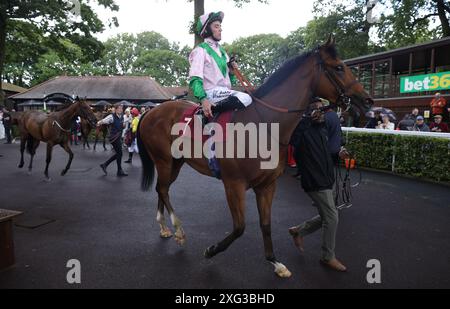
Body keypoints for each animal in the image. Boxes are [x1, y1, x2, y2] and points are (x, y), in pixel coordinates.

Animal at [137, 36, 372, 276]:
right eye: (339, 67)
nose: (367, 100)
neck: (264, 124)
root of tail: (151, 112)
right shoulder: (234, 184)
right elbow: (240, 227)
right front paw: (211, 250)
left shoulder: (267, 185)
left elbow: (265, 224)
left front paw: (275, 262)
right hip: (164, 161)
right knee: (163, 189)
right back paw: (178, 230)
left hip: (176, 163)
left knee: (162, 189)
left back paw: (164, 227)